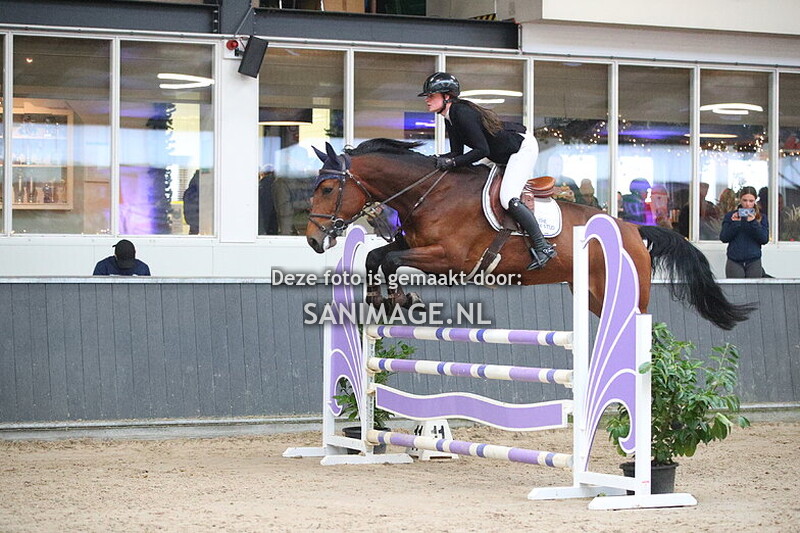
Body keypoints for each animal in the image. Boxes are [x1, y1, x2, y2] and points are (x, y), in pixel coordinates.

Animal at [306, 139, 753, 330]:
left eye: (327, 189)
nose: (312, 239)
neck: (429, 192)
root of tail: (630, 227)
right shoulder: (414, 244)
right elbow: (376, 257)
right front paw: (380, 299)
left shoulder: (450, 260)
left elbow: (391, 261)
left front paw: (401, 298)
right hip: (590, 294)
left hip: (626, 292)